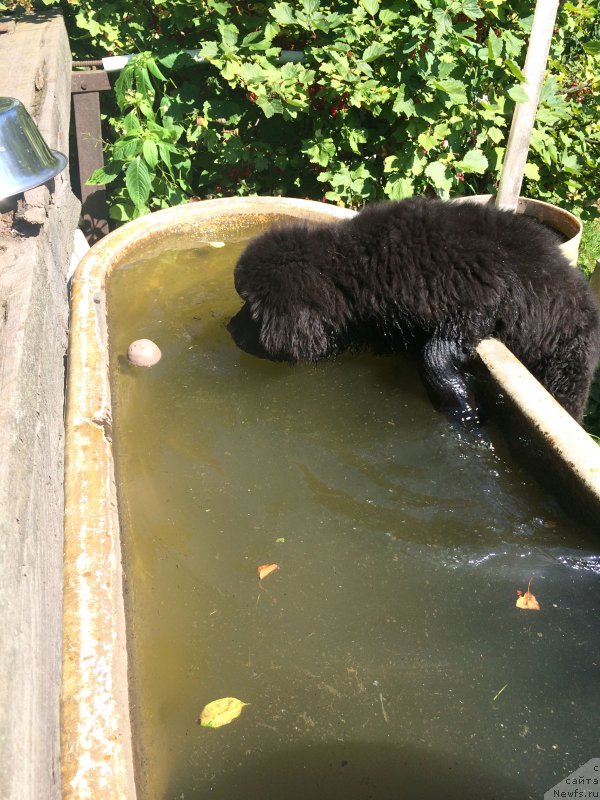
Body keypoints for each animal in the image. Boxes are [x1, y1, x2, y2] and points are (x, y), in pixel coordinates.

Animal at [226, 198, 600, 424]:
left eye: (250, 307)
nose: (230, 327)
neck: (357, 270)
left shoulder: (479, 297)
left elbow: (434, 354)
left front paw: (463, 408)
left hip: (565, 368)